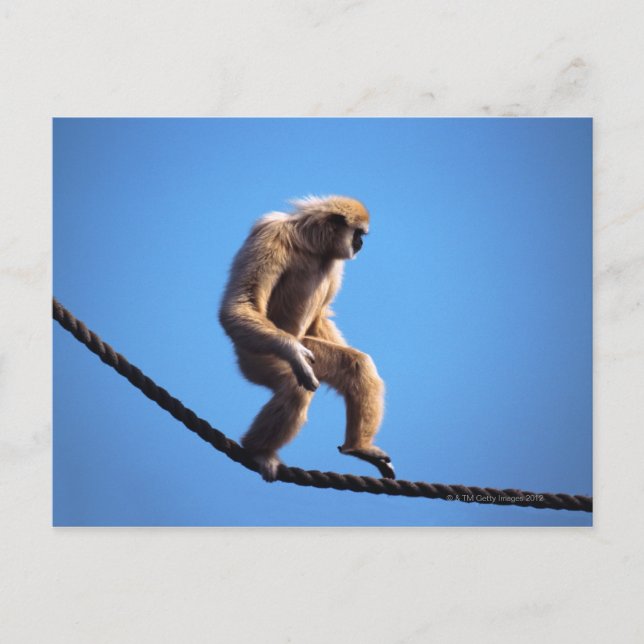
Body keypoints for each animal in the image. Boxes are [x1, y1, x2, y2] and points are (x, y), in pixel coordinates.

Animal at [219, 195, 394, 482]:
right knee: (295, 386)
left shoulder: (334, 262)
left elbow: (320, 318)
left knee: (357, 365)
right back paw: (258, 451)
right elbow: (239, 305)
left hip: (304, 346)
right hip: (256, 353)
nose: (361, 243)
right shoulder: (270, 233)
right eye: (358, 234)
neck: (311, 245)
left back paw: (358, 447)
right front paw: (293, 352)